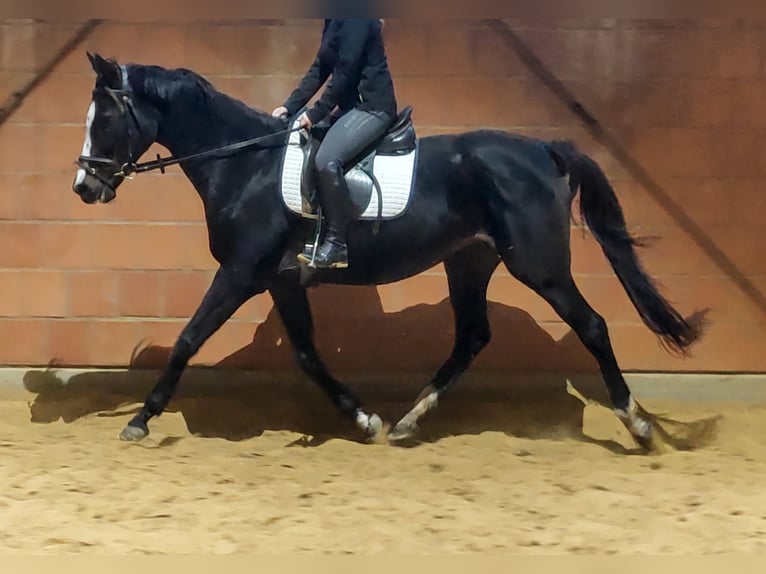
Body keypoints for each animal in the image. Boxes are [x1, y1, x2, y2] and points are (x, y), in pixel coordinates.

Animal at [72, 52, 705, 451]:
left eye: (107, 117)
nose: (85, 187)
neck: (244, 164)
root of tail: (545, 150)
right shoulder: (280, 279)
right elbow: (307, 355)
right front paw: (364, 417)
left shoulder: (240, 273)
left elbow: (188, 339)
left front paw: (140, 420)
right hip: (469, 260)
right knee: (472, 336)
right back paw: (406, 421)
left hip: (538, 265)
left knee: (592, 326)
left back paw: (637, 426)